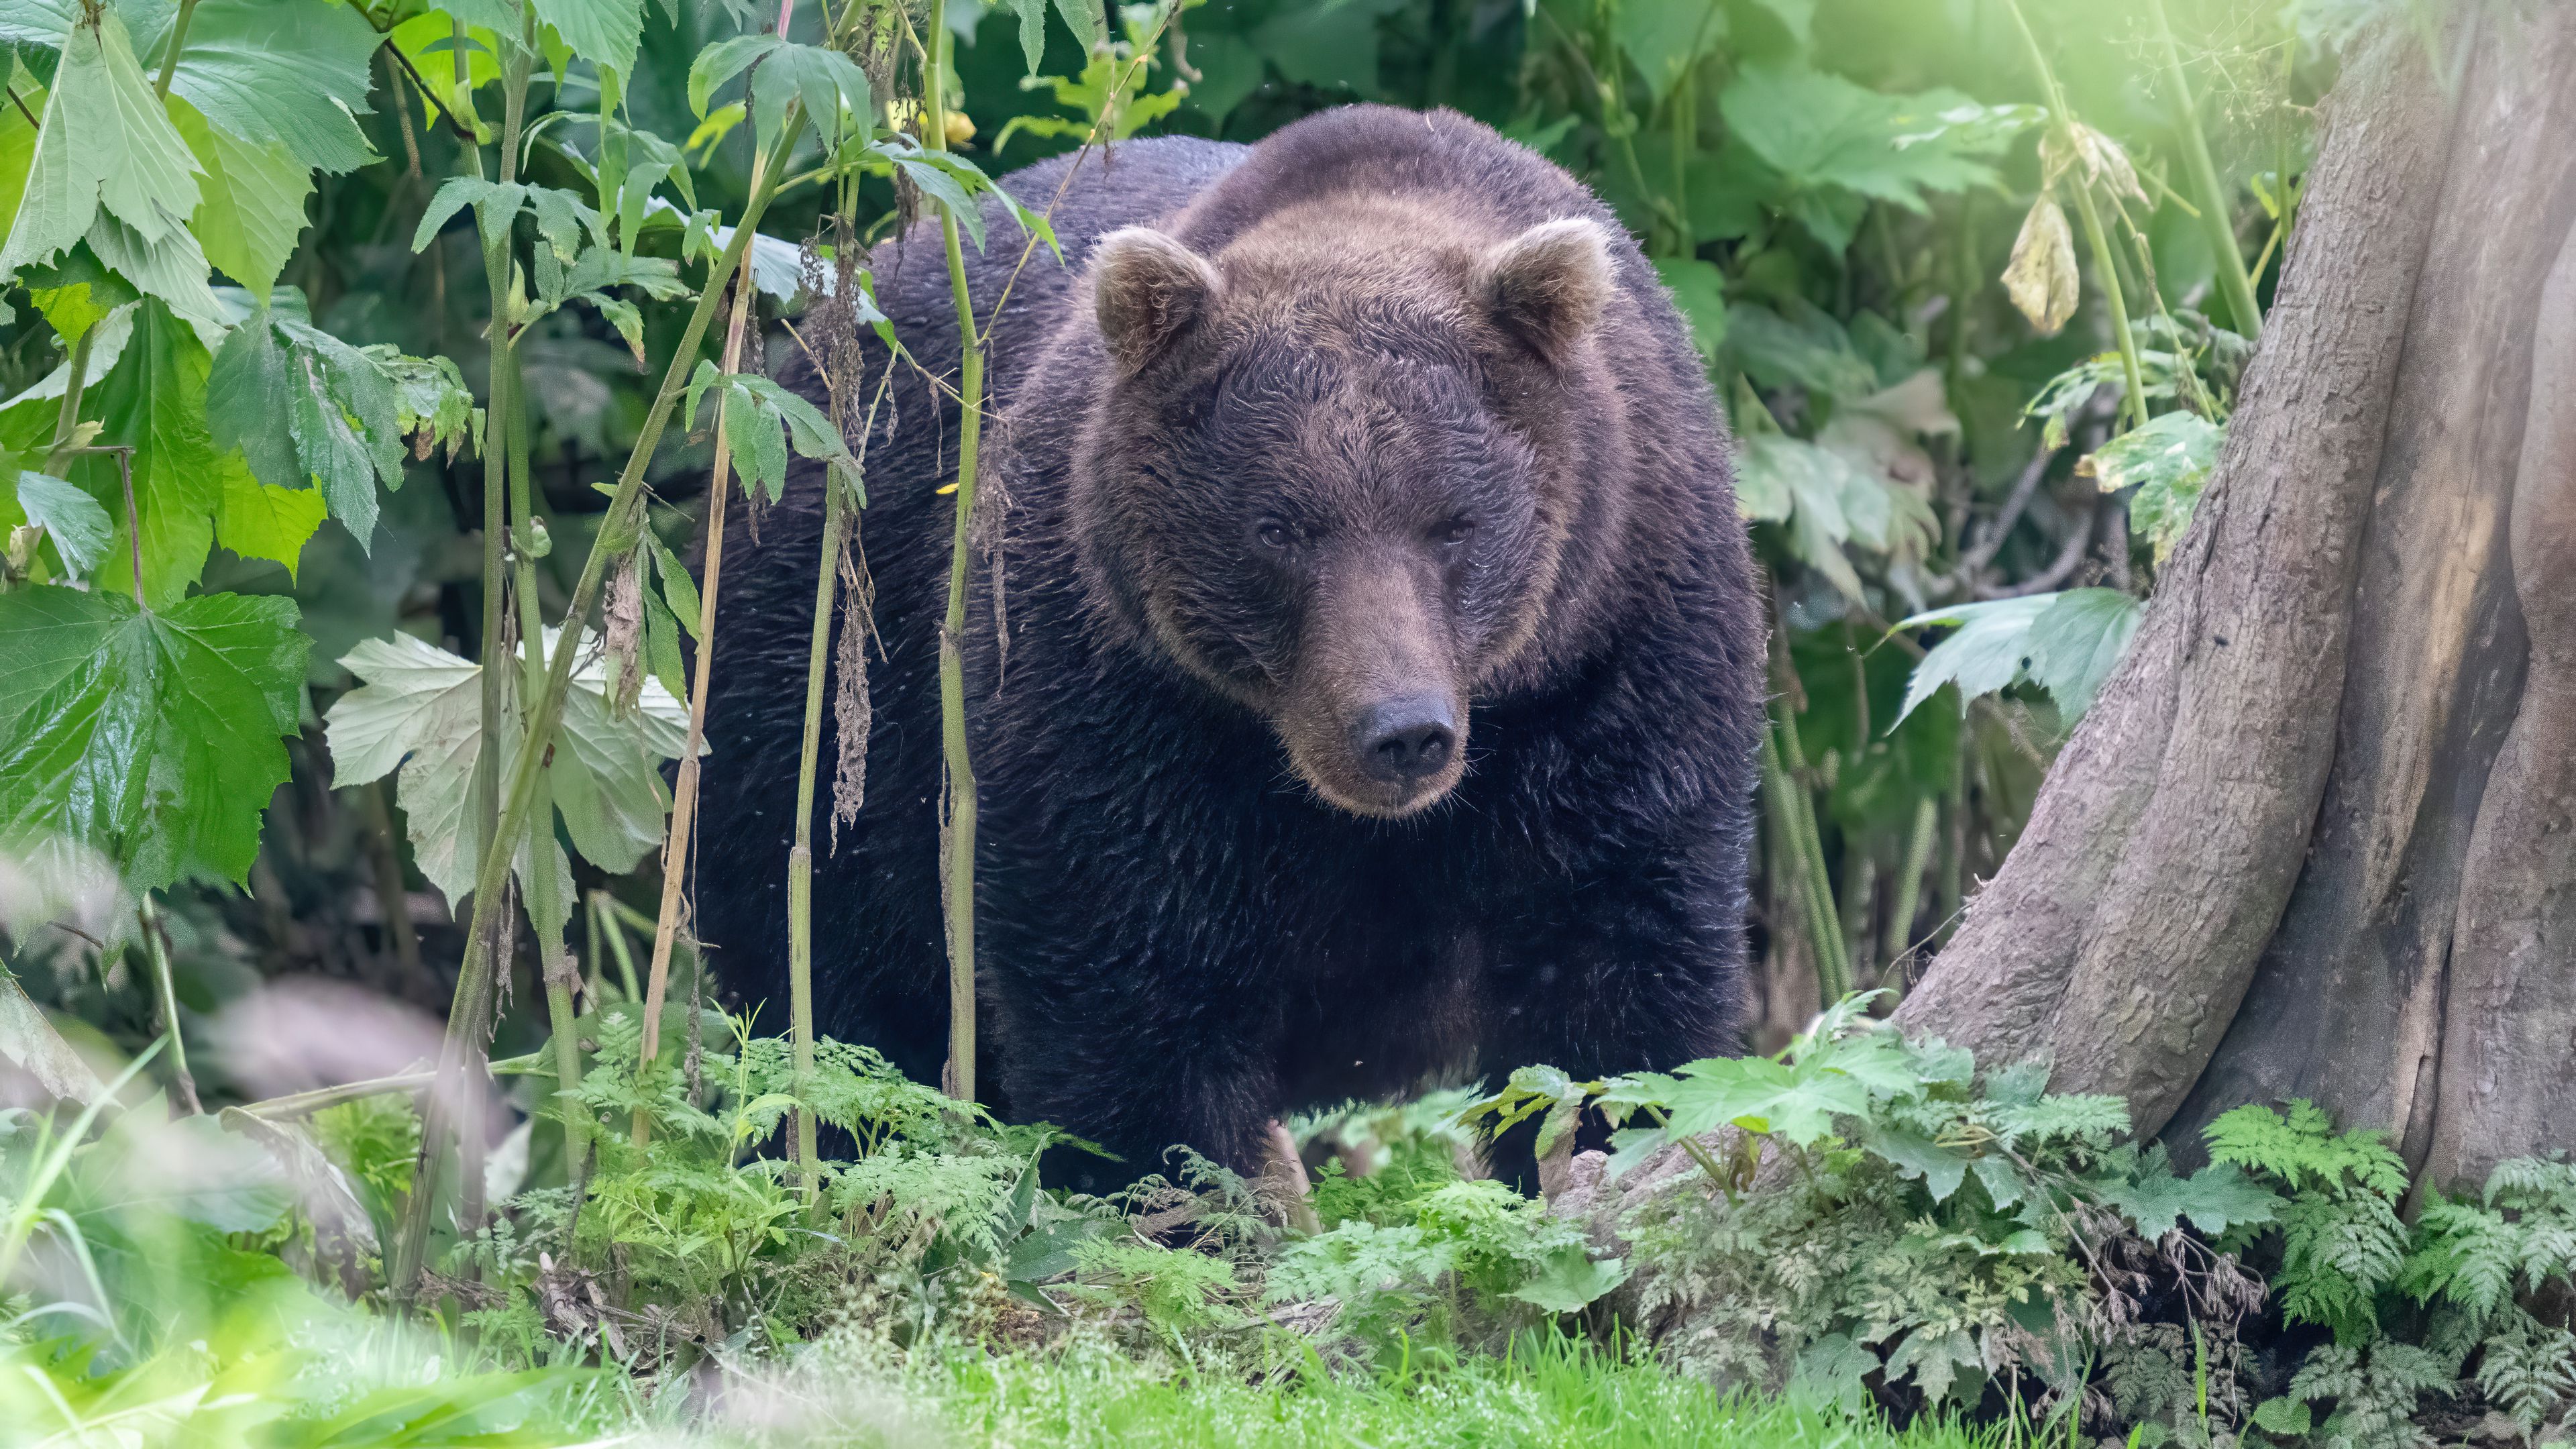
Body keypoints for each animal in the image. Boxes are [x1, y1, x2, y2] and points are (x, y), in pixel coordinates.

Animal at [699, 105, 1766, 1190]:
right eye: (1281, 528)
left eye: (1454, 523)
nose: (1401, 731)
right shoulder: (1126, 690)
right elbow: (1132, 985)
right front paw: (1178, 1188)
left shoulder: (1614, 649)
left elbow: (1610, 970)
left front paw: (1600, 1148)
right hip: (835, 658)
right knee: (833, 971)